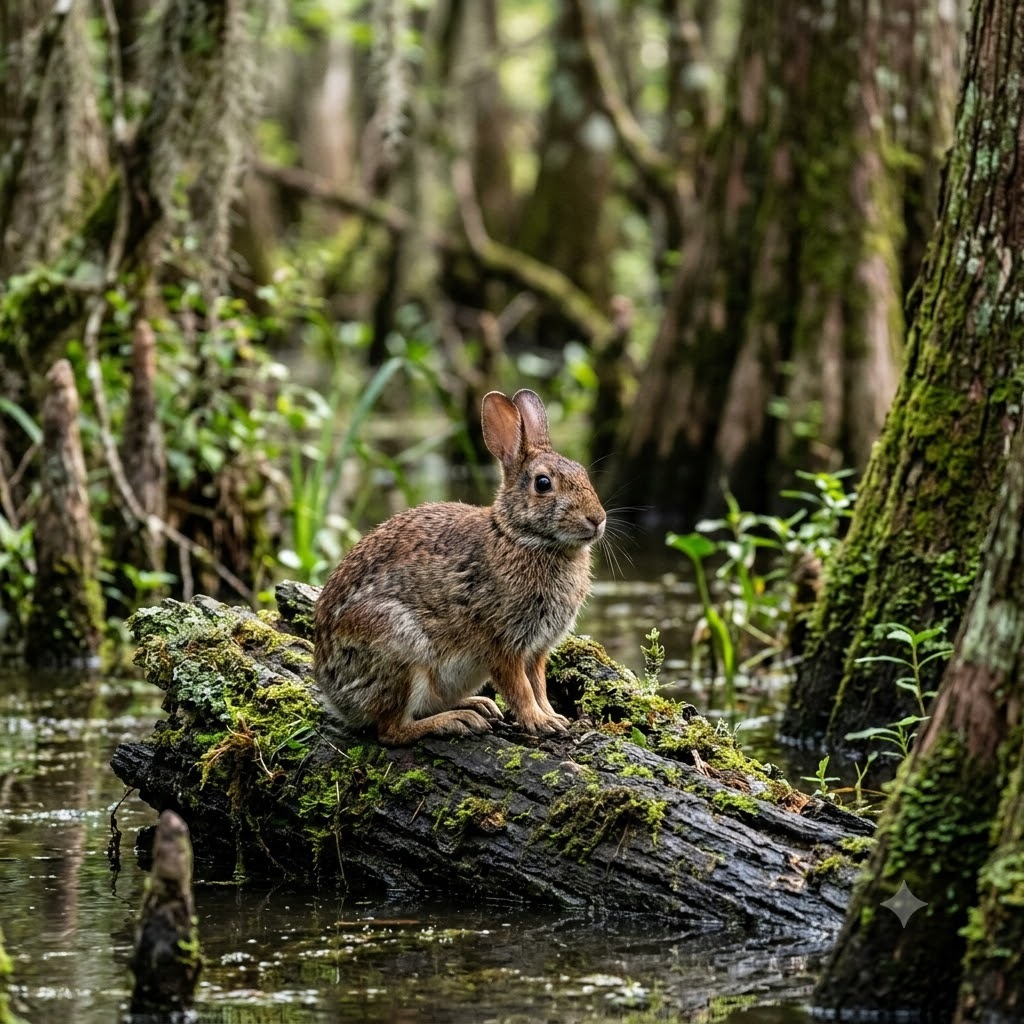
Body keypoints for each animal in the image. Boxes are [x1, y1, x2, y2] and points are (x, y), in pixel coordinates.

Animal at [313, 388, 606, 745]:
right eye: (543, 484)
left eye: (582, 473)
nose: (597, 519)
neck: (519, 537)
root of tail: (333, 692)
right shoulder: (502, 643)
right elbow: (520, 688)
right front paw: (540, 722)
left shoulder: (536, 651)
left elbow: (538, 684)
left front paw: (552, 716)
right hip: (401, 648)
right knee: (392, 730)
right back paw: (456, 720)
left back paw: (476, 705)